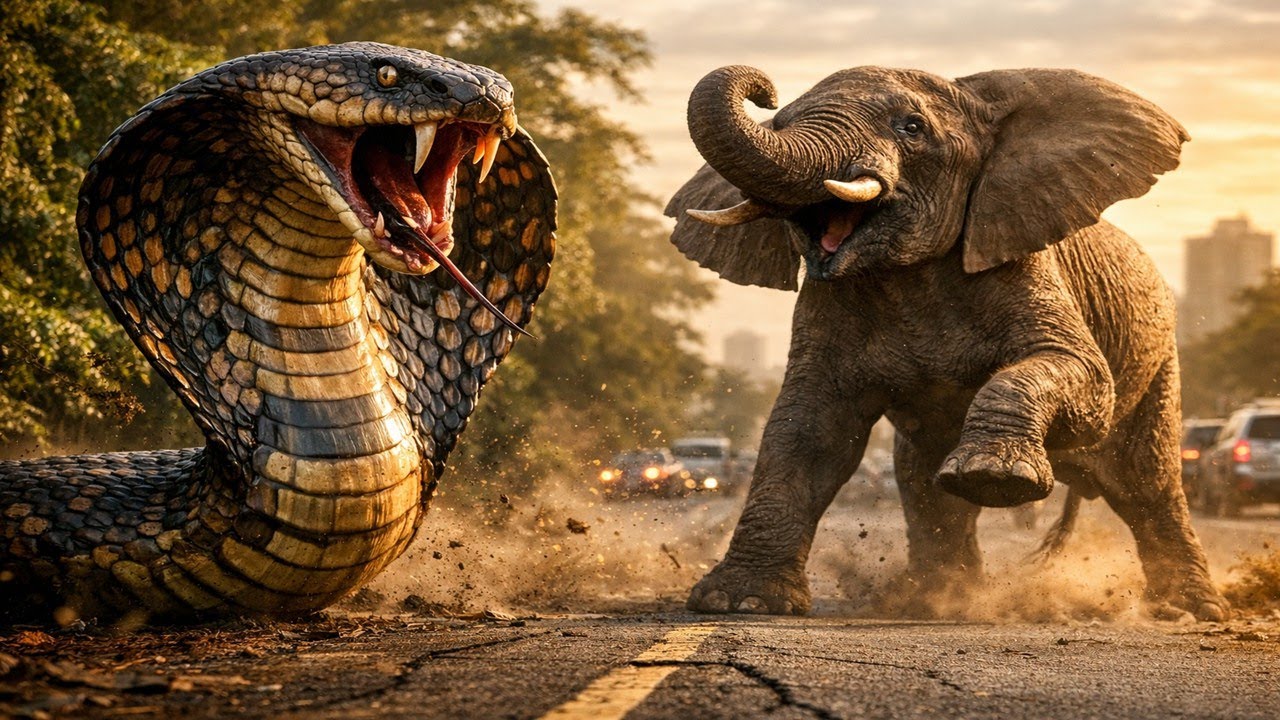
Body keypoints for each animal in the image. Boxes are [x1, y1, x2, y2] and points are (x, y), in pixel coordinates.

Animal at [665, 64, 1227, 621]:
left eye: (911, 128)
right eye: (779, 119)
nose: (763, 92)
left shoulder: (1024, 263)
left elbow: (1082, 376)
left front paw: (996, 476)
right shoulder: (827, 307)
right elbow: (810, 428)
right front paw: (738, 601)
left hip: (1162, 367)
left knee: (1148, 483)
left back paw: (1191, 610)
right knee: (926, 487)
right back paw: (937, 601)